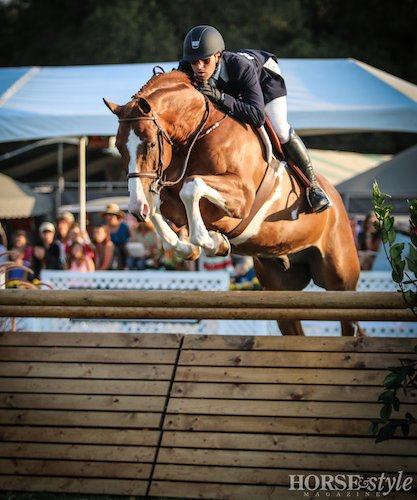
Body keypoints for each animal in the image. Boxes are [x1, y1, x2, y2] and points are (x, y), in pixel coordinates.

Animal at [103, 70, 360, 336]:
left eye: (151, 144)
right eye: (119, 147)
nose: (136, 210)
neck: (198, 133)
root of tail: (336, 199)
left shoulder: (242, 196)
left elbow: (192, 187)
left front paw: (213, 242)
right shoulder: (169, 198)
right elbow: (158, 208)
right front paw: (194, 246)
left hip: (340, 278)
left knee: (348, 318)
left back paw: (318, 197)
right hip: (281, 286)